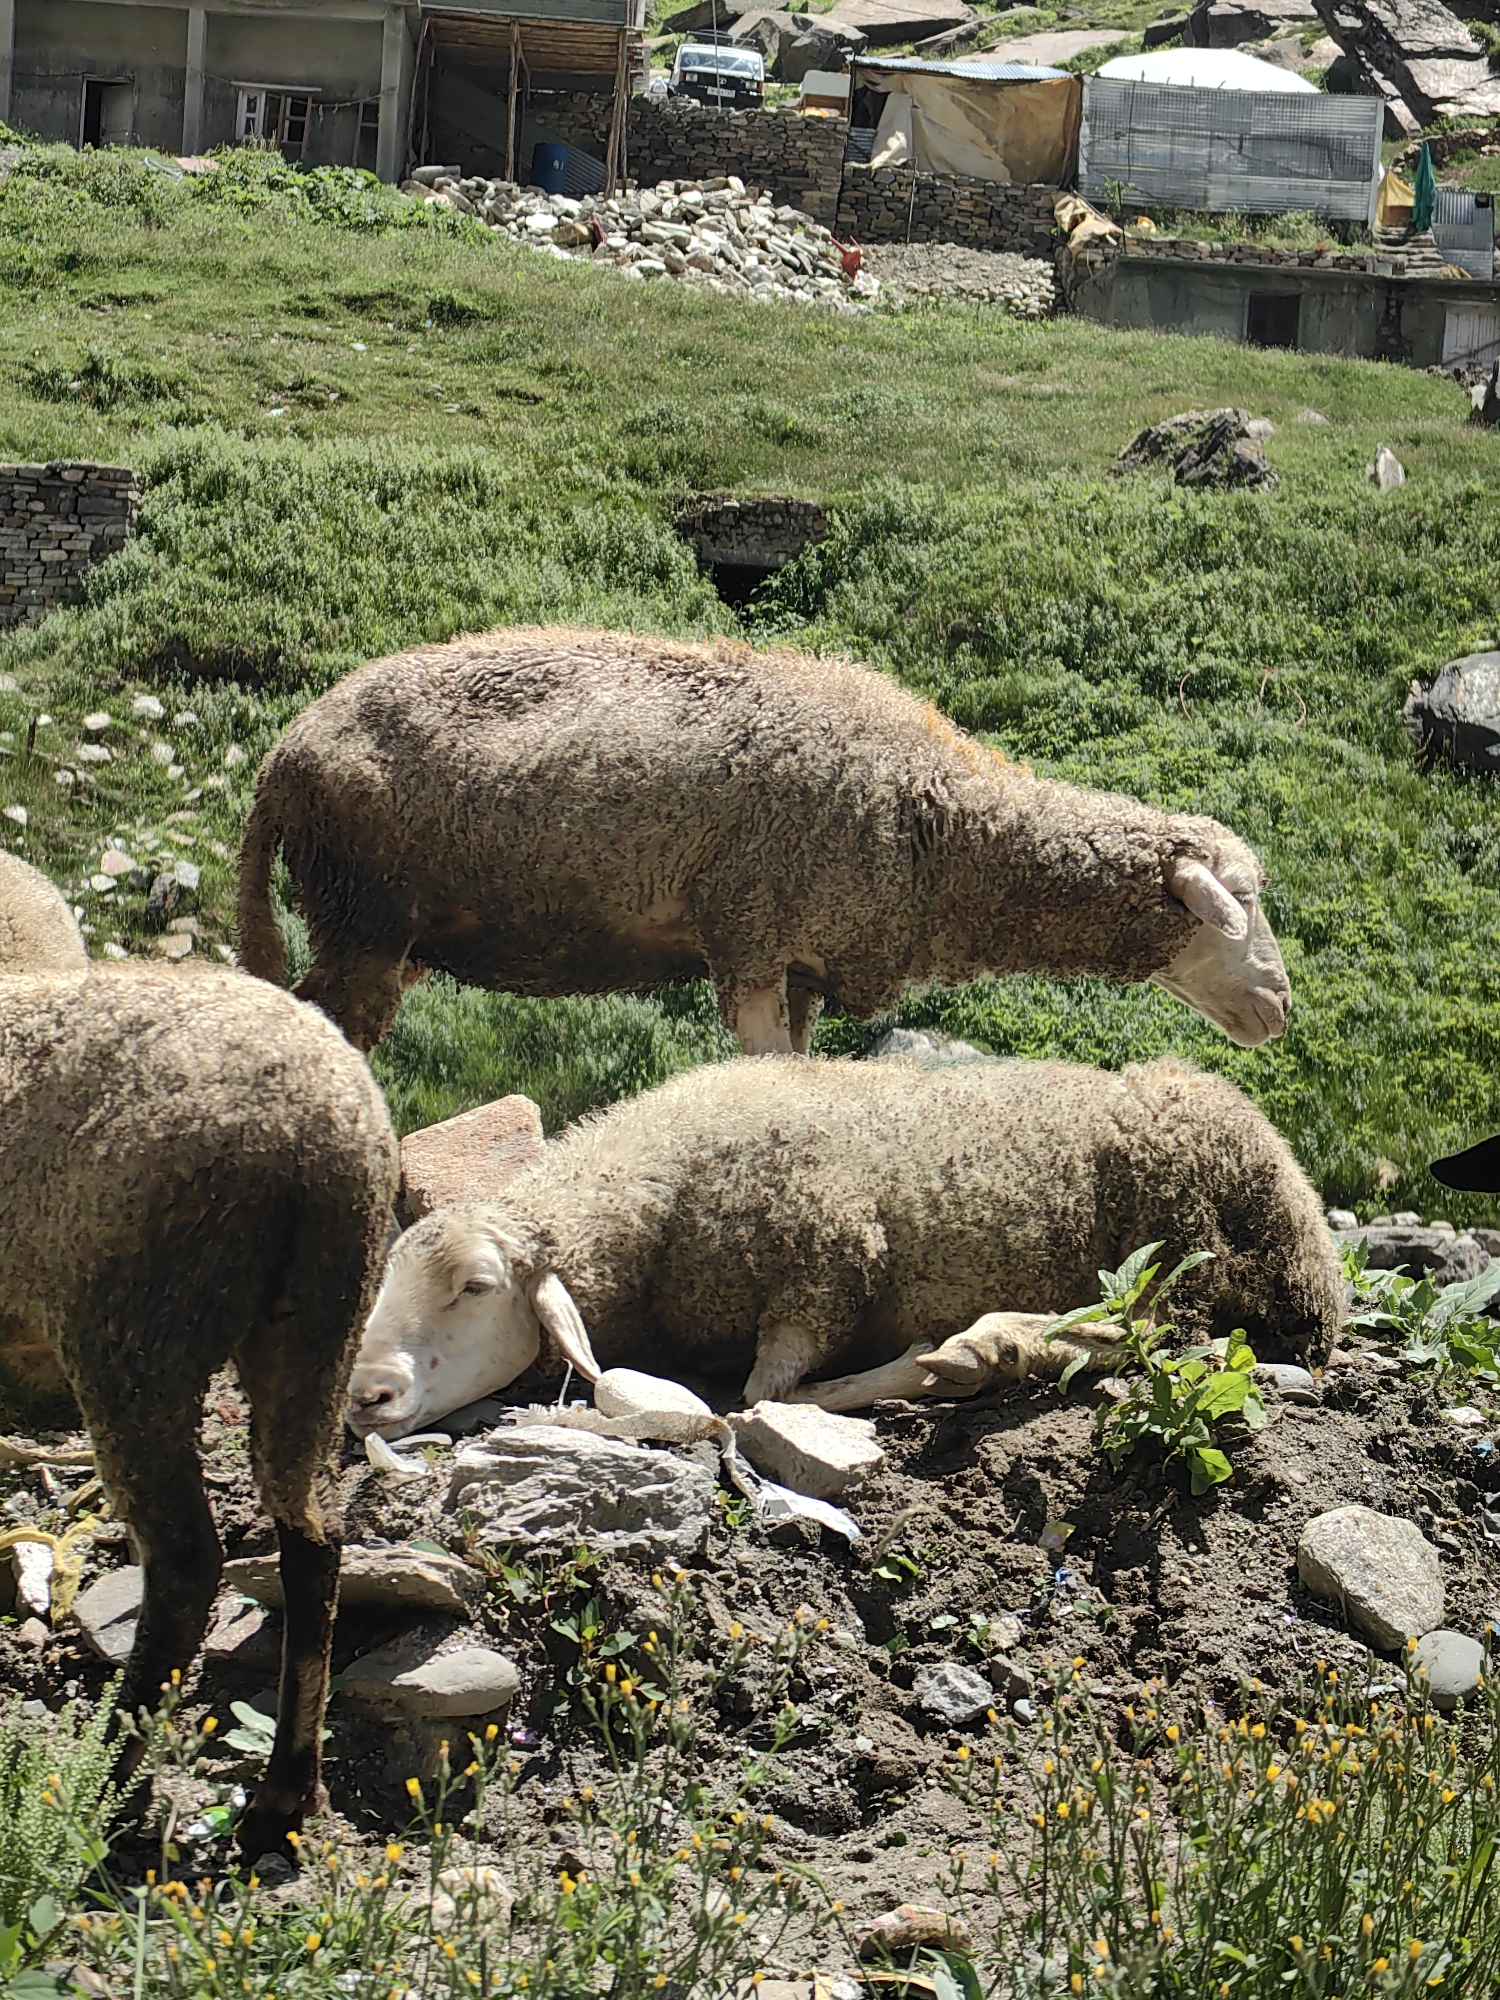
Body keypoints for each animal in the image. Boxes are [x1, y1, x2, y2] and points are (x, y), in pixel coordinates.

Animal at [0, 962, 399, 1857]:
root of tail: (318, 1125)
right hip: (319, 1322)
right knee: (314, 1540)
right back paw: (283, 1797)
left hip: (133, 1327)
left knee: (187, 1566)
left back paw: (109, 1800)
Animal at [237, 626, 1291, 1056]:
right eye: (1234, 908)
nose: (1280, 1006)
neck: (934, 821)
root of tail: (284, 755)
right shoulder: (747, 934)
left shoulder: (805, 962)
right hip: (363, 912)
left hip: (384, 927)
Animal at [346, 1052, 1342, 1439]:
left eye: (476, 1286)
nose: (366, 1396)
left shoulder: (827, 1257)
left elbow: (761, 1397)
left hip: (1188, 1232)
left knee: (1163, 1330)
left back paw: (991, 1347)